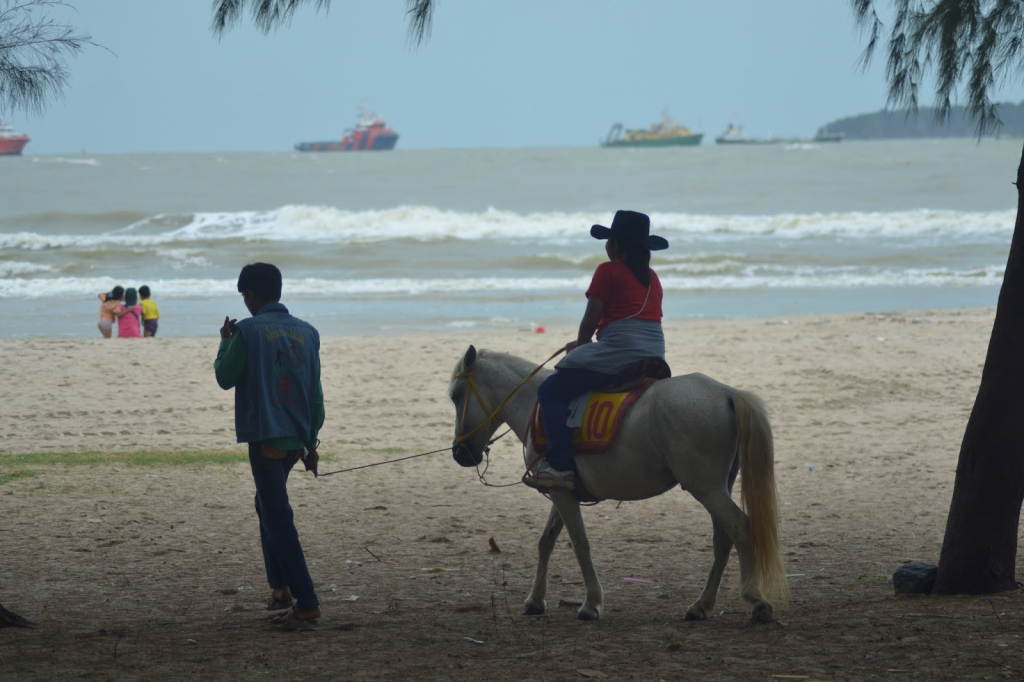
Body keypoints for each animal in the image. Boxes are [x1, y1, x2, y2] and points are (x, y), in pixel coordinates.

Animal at [444, 346, 786, 622]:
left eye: (456, 395)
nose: (459, 453)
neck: (533, 403)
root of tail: (727, 392)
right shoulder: (561, 490)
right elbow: (546, 542)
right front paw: (535, 600)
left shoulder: (562, 496)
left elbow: (579, 544)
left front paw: (591, 604)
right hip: (717, 487)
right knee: (723, 539)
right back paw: (701, 605)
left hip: (706, 488)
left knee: (741, 527)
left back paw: (755, 599)